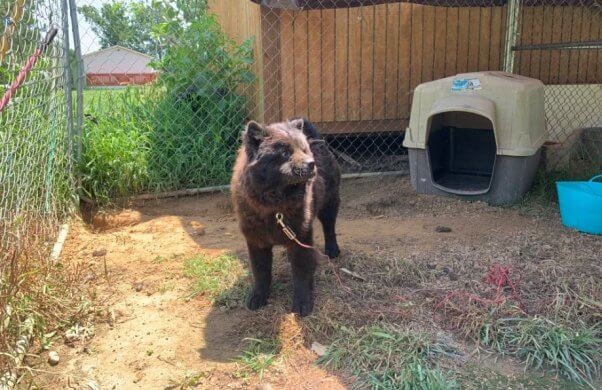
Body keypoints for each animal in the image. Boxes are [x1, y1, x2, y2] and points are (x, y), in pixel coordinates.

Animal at [230, 117, 340, 316]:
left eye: (303, 150)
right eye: (284, 152)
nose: (311, 163)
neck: (275, 207)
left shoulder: (301, 236)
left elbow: (301, 273)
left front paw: (302, 304)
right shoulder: (256, 240)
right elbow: (261, 272)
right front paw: (258, 297)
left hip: (330, 203)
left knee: (330, 228)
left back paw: (333, 249)